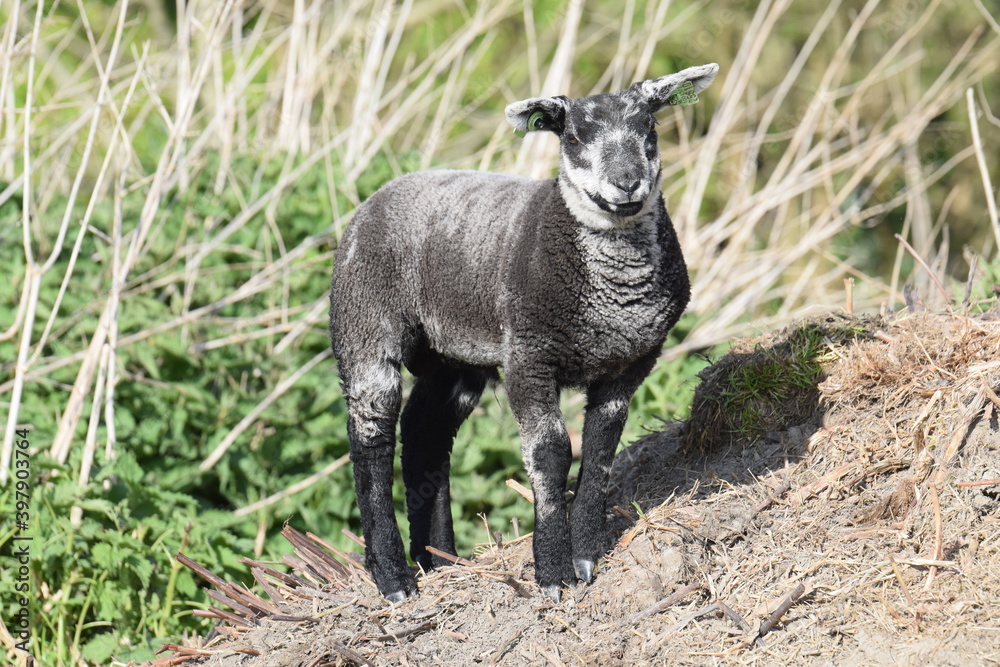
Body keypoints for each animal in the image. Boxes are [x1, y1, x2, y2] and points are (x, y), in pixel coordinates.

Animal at [329, 63, 719, 603]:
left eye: (650, 127)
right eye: (574, 137)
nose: (627, 183)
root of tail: (377, 197)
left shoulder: (631, 363)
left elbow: (600, 450)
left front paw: (586, 555)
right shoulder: (530, 358)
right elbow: (551, 454)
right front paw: (552, 573)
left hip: (454, 354)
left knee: (426, 432)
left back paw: (440, 560)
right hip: (365, 320)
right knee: (371, 435)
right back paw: (393, 577)